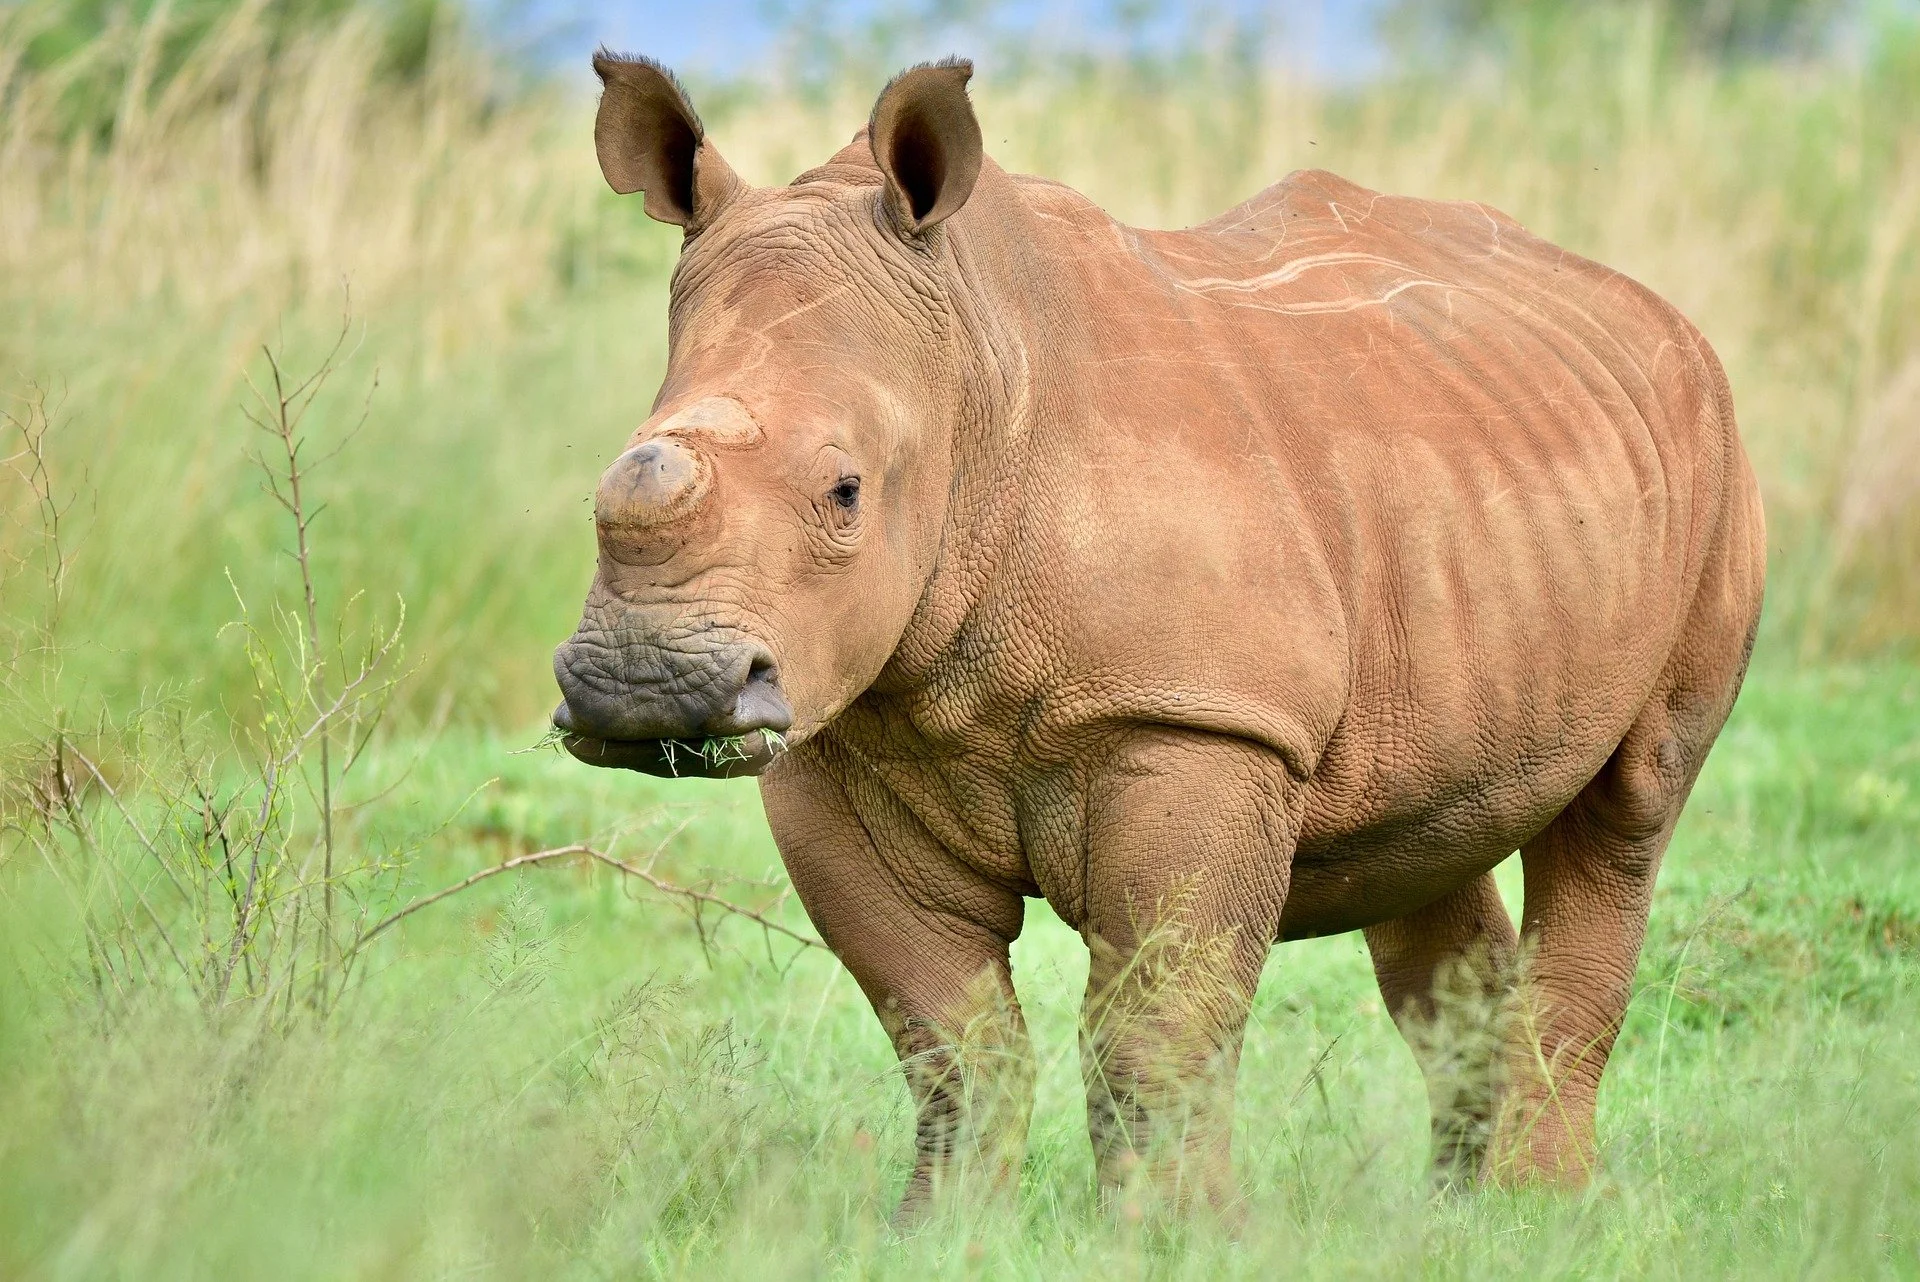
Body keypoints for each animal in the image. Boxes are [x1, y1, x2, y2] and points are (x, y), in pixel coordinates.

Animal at [551, 53, 1766, 1219]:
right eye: (605, 478)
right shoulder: (832, 729)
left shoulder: (1194, 719)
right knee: (1432, 839)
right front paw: (938, 1233)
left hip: (1708, 451)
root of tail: (1642, 304)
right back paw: (1459, 1216)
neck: (971, 376)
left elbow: (1155, 1028)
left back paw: (1536, 1209)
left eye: (846, 492)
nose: (645, 688)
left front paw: (1177, 1237)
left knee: (1629, 808)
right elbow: (949, 1037)